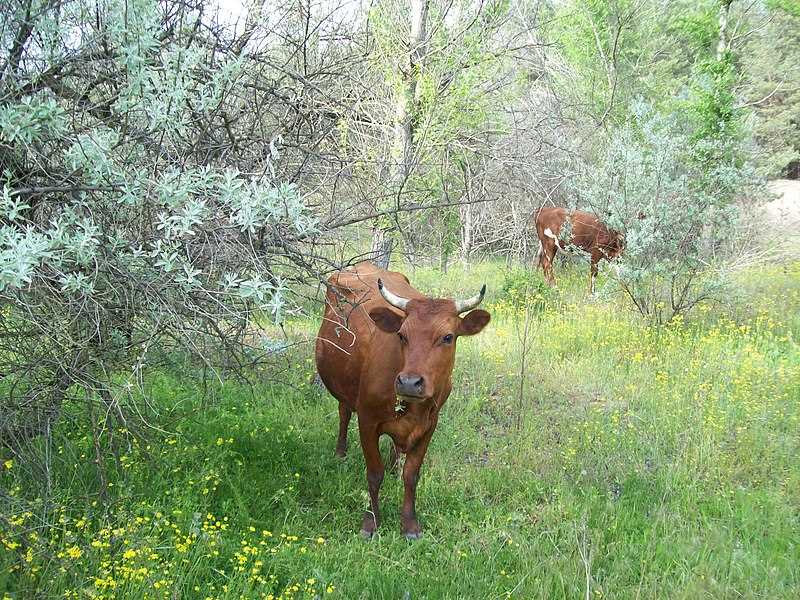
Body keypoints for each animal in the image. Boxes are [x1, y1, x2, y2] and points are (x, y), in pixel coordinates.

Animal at [316, 262, 490, 540]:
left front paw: (409, 524)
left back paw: (394, 466)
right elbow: (374, 474)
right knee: (344, 412)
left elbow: (412, 475)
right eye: (401, 335)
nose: (409, 382)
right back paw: (340, 452)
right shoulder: (367, 421)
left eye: (448, 337)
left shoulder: (430, 425)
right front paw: (371, 522)